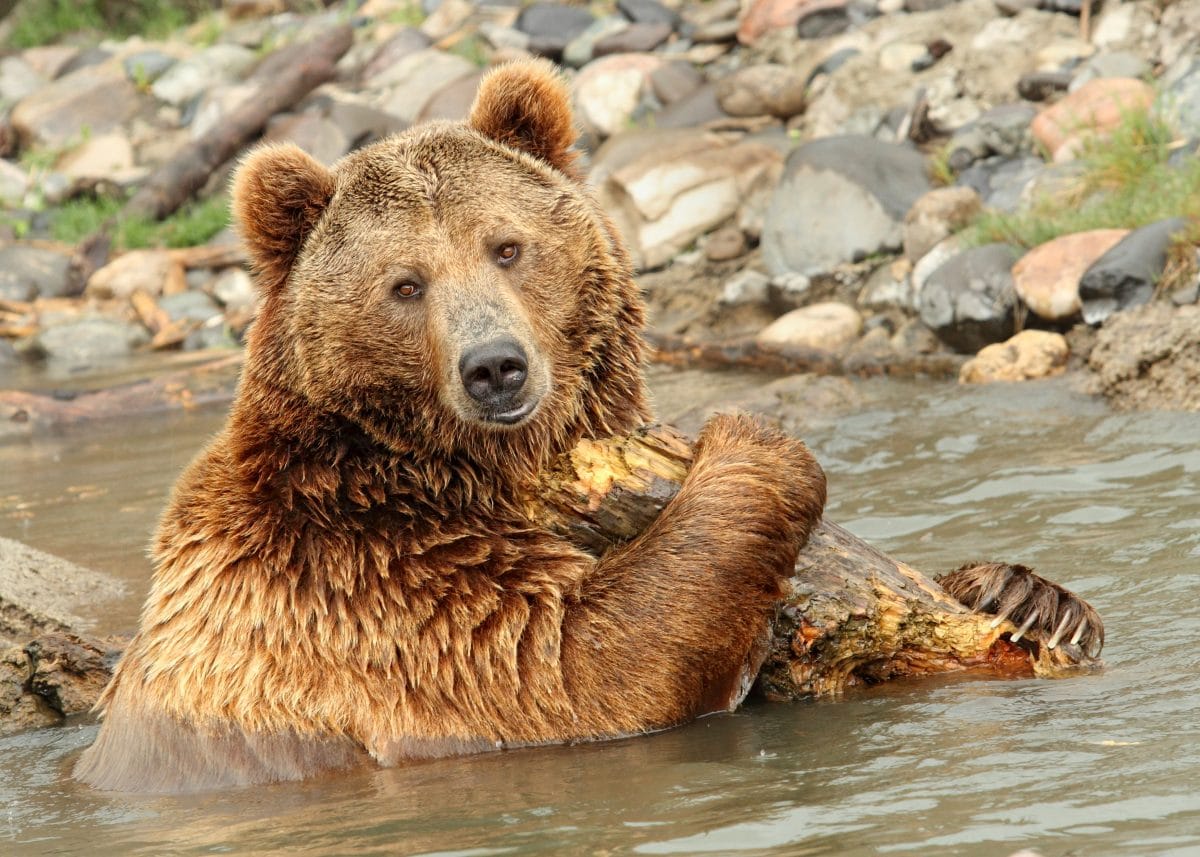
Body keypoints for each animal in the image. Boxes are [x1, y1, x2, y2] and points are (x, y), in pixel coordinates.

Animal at [72, 60, 825, 792]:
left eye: (506, 247)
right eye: (406, 284)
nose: (494, 367)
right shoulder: (364, 587)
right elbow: (571, 662)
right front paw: (757, 446)